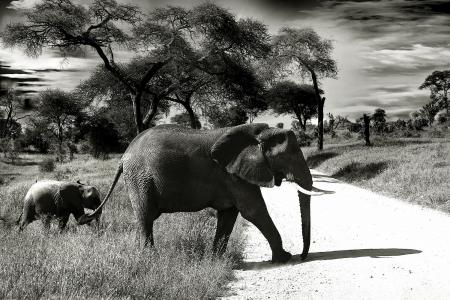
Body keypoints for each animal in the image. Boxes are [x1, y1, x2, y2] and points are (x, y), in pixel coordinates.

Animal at [79, 123, 314, 262]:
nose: (303, 256)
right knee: (145, 217)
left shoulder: (232, 175)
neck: (257, 134)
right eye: (288, 155)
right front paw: (284, 258)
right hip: (139, 179)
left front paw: (216, 259)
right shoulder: (233, 175)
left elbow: (229, 214)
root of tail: (123, 156)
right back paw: (151, 258)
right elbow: (254, 211)